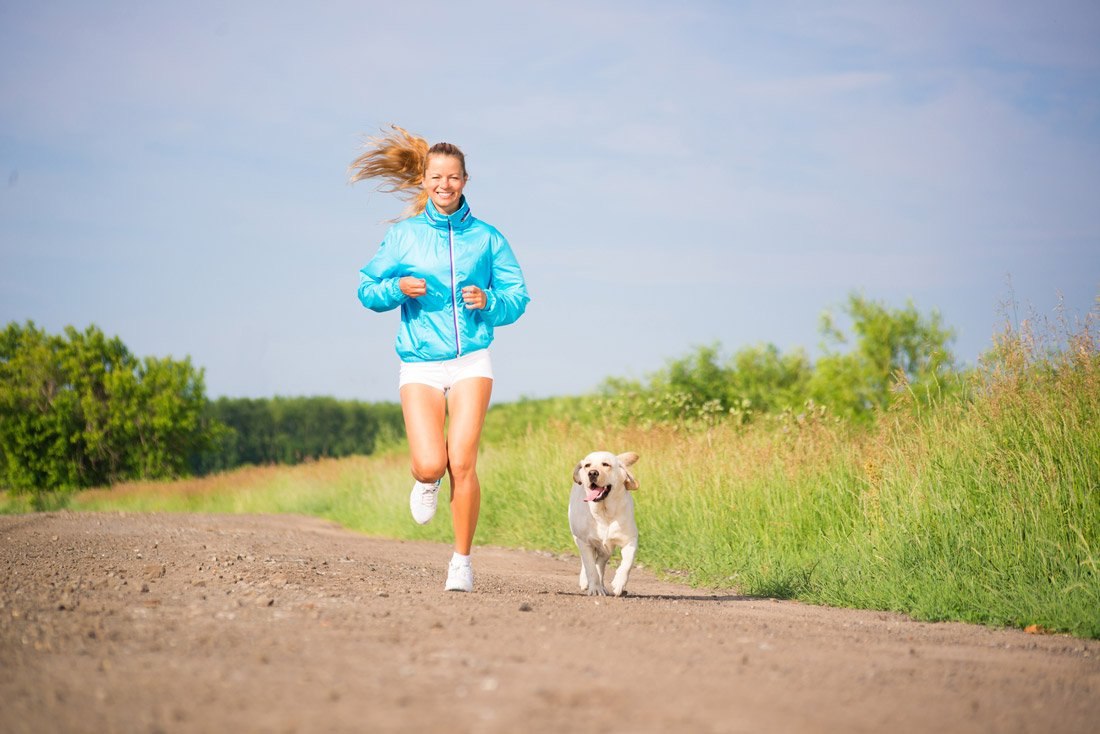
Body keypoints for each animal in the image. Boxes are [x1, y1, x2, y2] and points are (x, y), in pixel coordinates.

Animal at [572, 448, 642, 598]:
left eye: (606, 464)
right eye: (587, 465)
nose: (592, 473)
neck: (604, 513)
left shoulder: (630, 540)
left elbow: (627, 563)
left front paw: (619, 583)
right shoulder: (584, 541)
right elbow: (590, 567)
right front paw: (594, 588)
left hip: (606, 550)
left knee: (600, 563)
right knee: (588, 563)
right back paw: (586, 581)